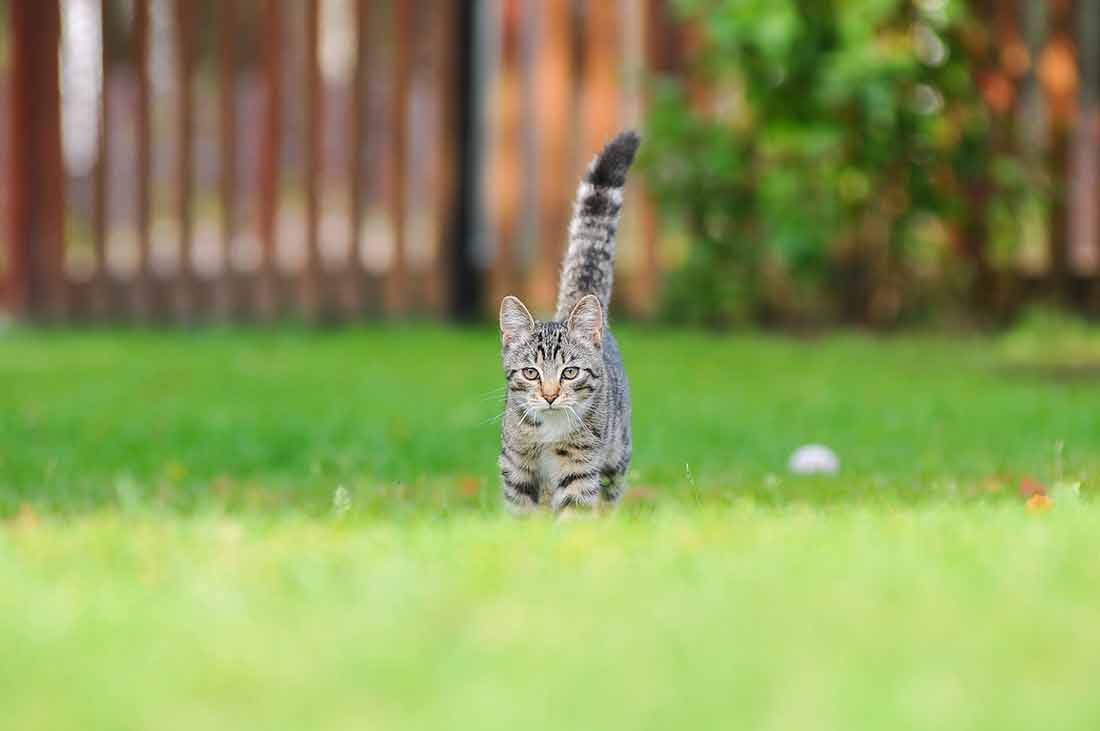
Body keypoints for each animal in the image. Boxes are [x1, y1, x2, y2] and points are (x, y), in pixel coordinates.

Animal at [497, 128, 642, 512]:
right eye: (531, 373)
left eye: (570, 372)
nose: (549, 395)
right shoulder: (515, 466)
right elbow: (521, 512)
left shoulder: (580, 465)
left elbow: (575, 510)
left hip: (616, 456)